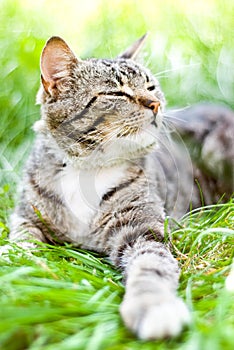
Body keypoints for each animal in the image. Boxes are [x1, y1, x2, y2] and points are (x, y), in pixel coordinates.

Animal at [6, 35, 233, 340]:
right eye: (116, 93)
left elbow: (151, 264)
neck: (88, 169)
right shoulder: (26, 215)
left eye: (151, 87)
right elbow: (22, 241)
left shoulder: (141, 228)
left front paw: (153, 304)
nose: (155, 104)